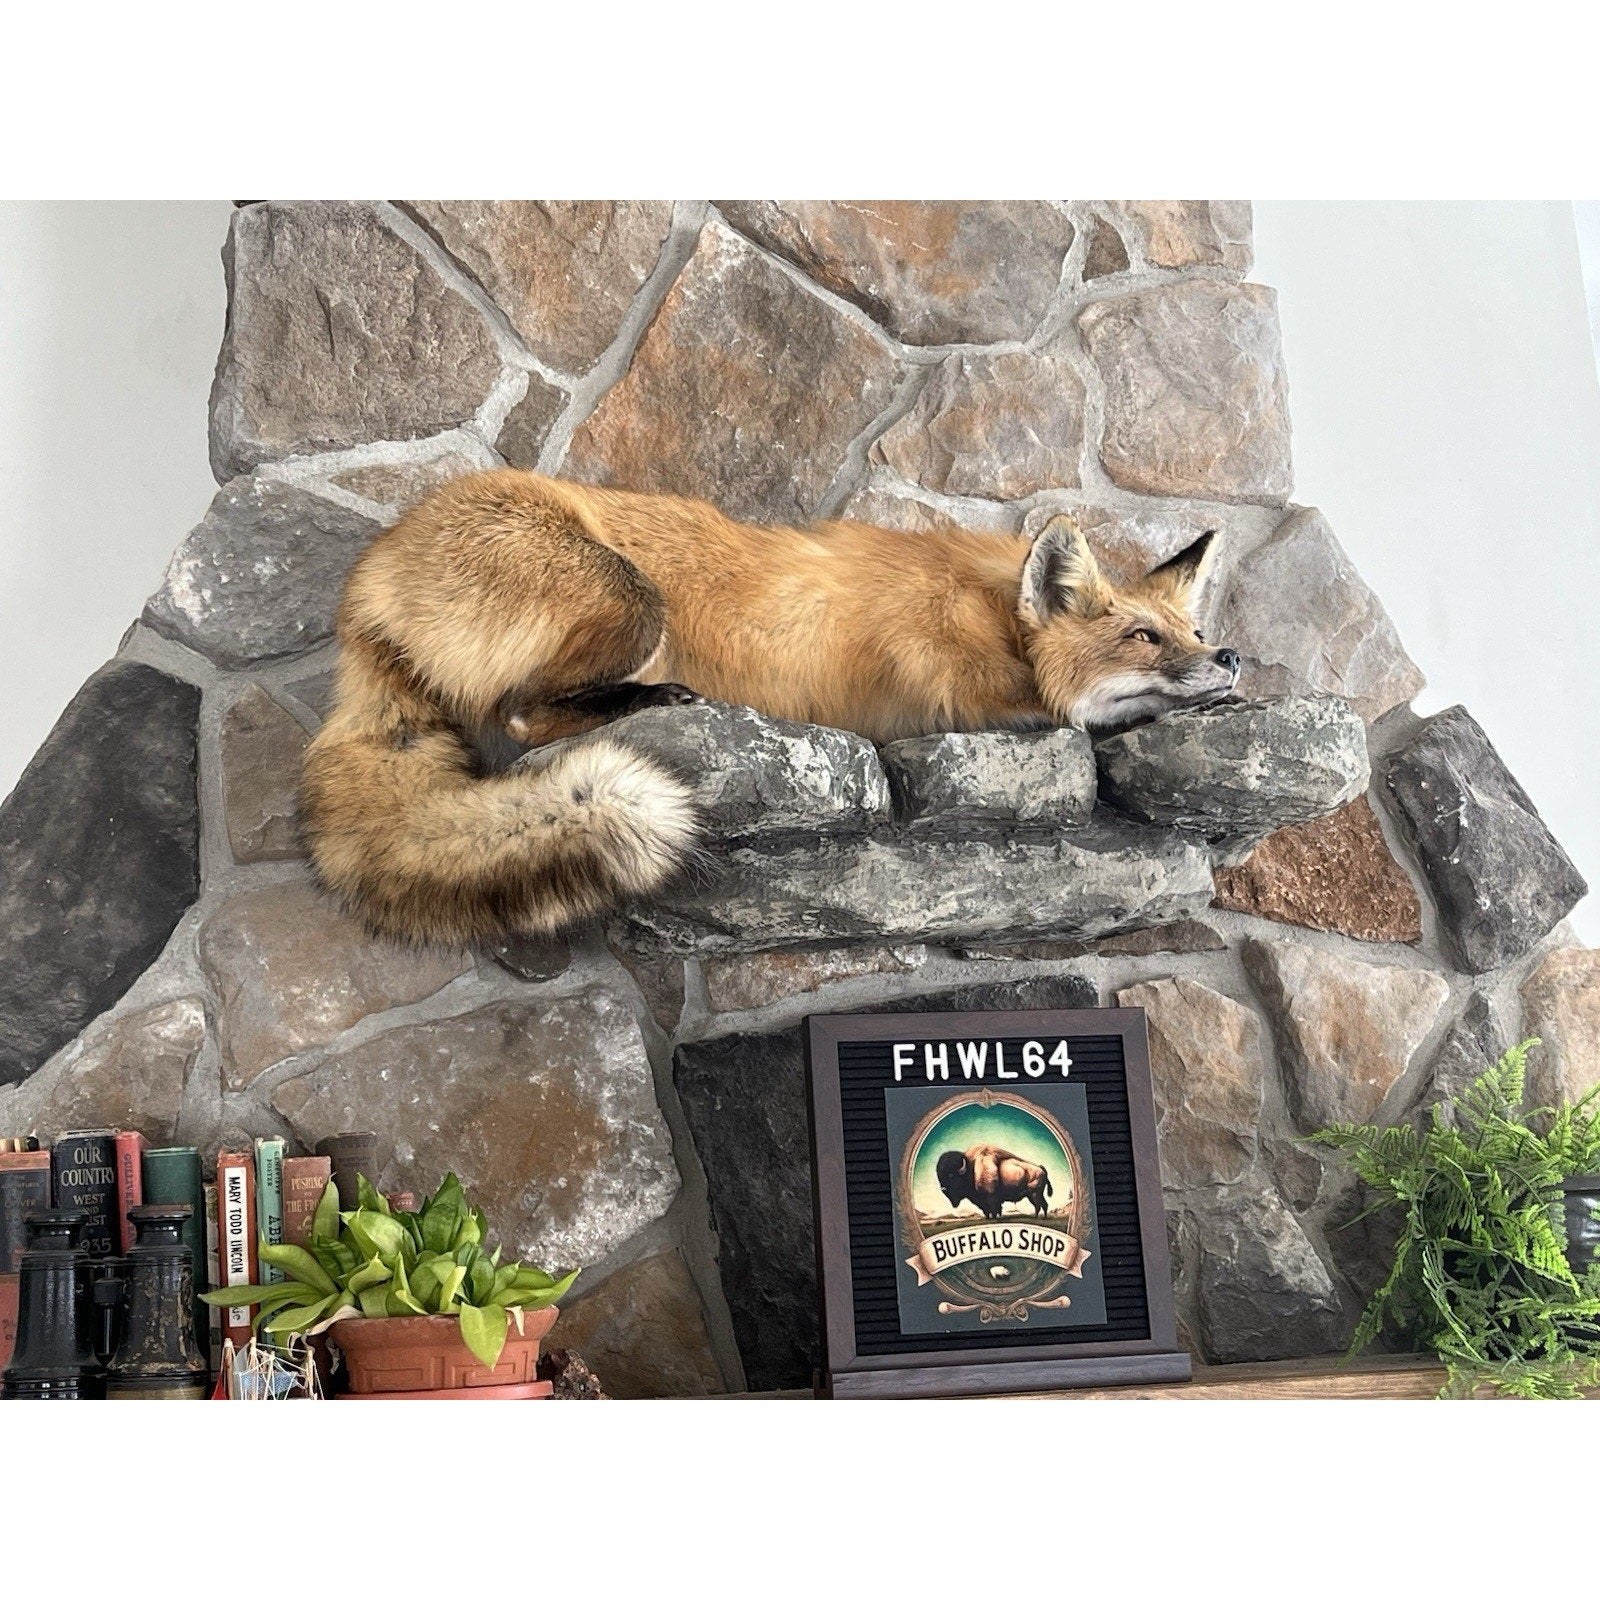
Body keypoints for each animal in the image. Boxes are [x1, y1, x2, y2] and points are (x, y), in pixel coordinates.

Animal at [301, 469, 1240, 946]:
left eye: (1193, 628)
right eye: (1144, 638)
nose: (1228, 656)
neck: (979, 611)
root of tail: (368, 579)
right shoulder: (943, 702)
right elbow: (1070, 717)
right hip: (630, 598)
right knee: (522, 714)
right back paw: (649, 699)